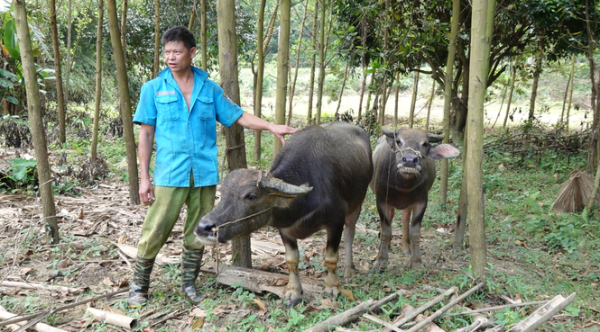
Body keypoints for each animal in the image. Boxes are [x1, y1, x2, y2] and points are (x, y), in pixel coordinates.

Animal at [195, 122, 372, 306]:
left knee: (350, 230)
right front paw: (294, 292)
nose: (203, 228)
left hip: (357, 203)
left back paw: (349, 269)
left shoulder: (335, 222)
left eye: (251, 196)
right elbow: (291, 260)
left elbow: (330, 259)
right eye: (222, 192)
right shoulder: (284, 229)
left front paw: (333, 287)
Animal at [370, 127, 460, 272]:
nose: (410, 160)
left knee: (405, 218)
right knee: (391, 217)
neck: (403, 185)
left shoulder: (421, 202)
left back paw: (406, 247)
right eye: (399, 141)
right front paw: (381, 260)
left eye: (425, 144)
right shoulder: (381, 200)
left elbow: (415, 233)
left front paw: (416, 261)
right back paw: (388, 246)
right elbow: (386, 231)